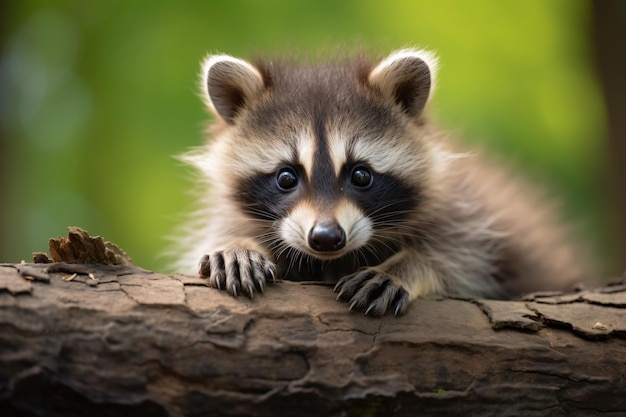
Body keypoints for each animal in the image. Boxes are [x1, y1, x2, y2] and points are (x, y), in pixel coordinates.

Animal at [177, 48, 584, 316]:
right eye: (286, 177)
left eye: (360, 175)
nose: (326, 238)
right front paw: (239, 244)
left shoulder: (468, 213)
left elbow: (462, 258)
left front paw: (405, 266)